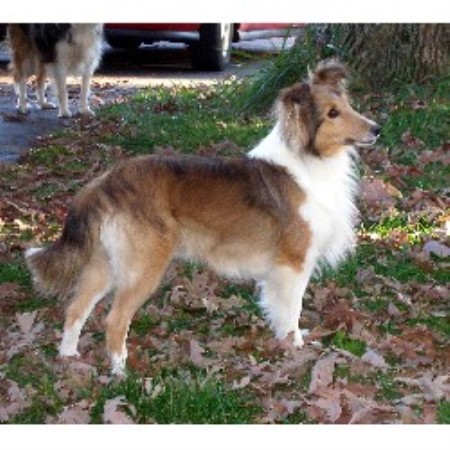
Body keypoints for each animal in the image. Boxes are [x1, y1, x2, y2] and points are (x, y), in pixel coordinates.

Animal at [25, 59, 380, 376]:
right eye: (332, 113)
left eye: (347, 105)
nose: (377, 129)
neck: (307, 161)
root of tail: (104, 183)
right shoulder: (294, 263)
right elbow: (291, 310)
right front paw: (295, 347)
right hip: (143, 267)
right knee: (114, 320)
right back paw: (121, 374)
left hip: (105, 264)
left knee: (75, 309)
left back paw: (69, 357)